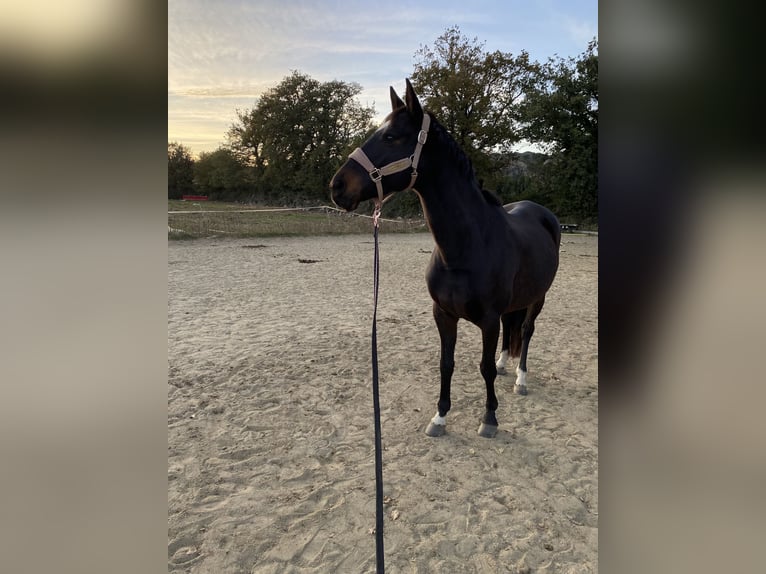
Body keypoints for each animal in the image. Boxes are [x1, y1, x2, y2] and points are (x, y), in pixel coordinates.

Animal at [330, 79, 561, 438]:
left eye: (391, 136)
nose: (337, 186)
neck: (465, 250)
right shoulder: (443, 314)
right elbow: (446, 363)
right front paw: (439, 417)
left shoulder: (488, 320)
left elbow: (483, 367)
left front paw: (489, 418)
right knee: (512, 330)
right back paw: (505, 365)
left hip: (539, 297)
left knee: (526, 330)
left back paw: (520, 379)